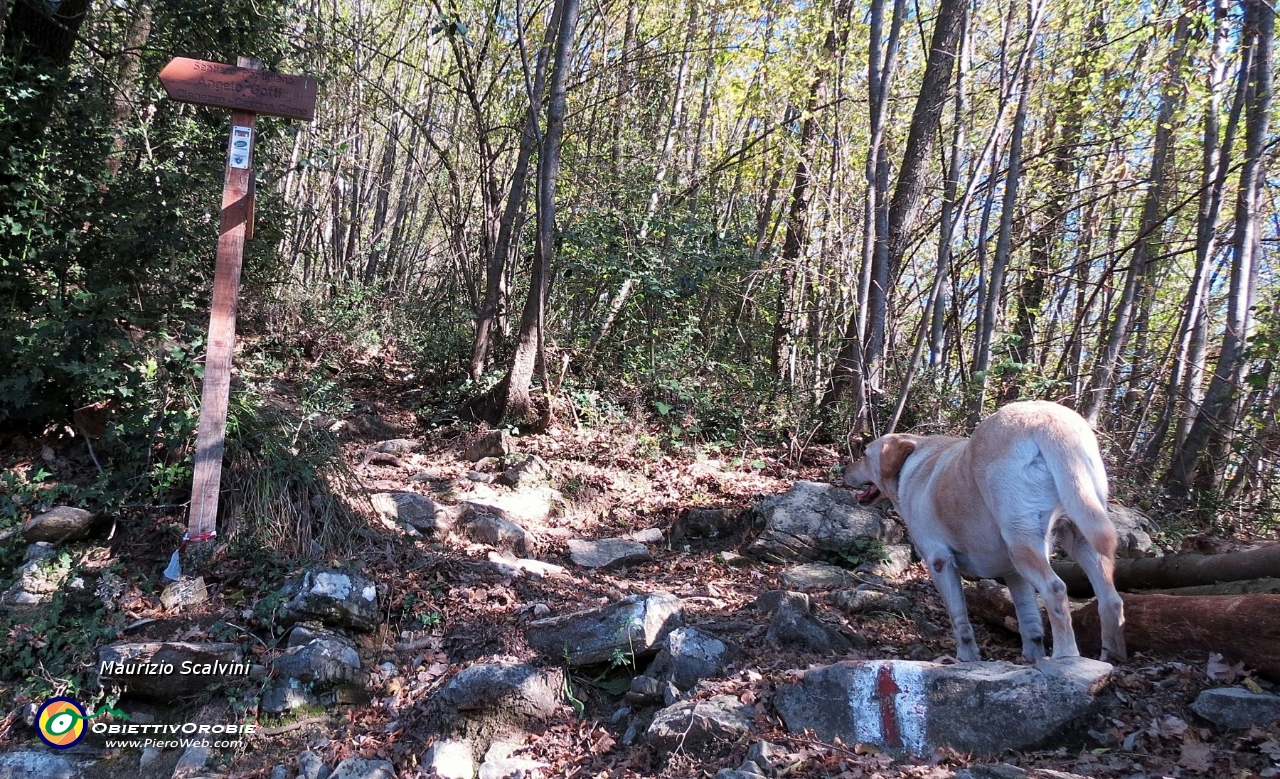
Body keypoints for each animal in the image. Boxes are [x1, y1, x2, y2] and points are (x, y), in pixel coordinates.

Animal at [844, 401, 1126, 660]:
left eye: (865, 455)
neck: (911, 460)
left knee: (1055, 589)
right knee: (1110, 599)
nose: (844, 470)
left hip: (1023, 543)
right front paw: (1032, 659)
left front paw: (966, 659)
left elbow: (960, 621)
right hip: (1083, 533)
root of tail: (1048, 419)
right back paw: (1111, 658)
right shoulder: (1014, 573)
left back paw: (1066, 657)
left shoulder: (939, 562)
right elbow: (1030, 623)